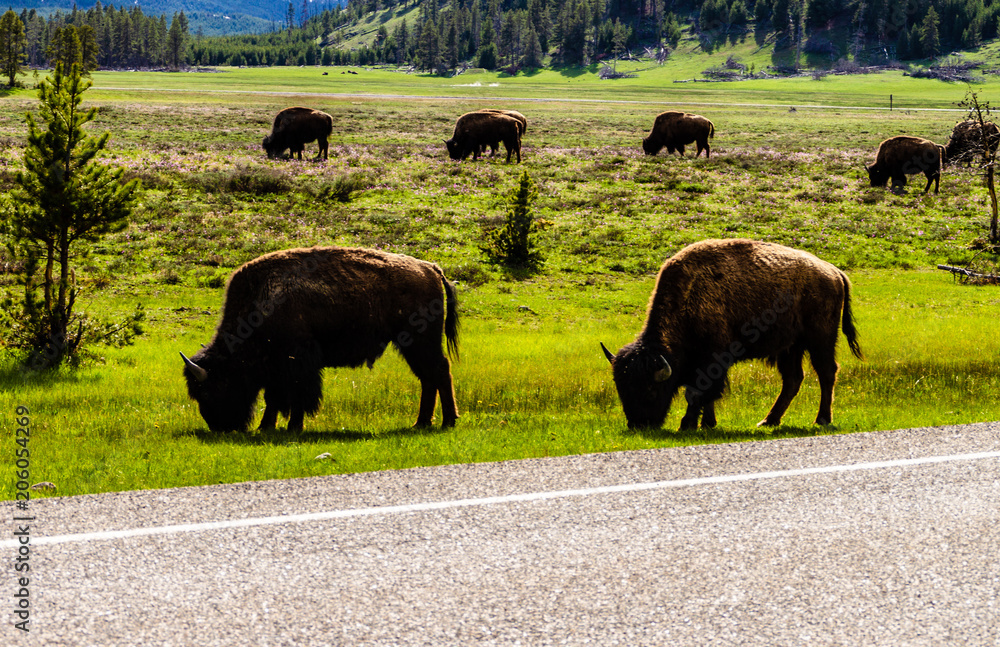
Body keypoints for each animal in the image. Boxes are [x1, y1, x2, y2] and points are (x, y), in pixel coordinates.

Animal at [181, 246, 459, 432]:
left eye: (209, 390)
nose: (220, 427)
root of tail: (431, 269)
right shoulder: (276, 369)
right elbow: (273, 398)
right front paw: (266, 427)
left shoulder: (298, 363)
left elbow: (297, 396)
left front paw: (293, 427)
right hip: (413, 345)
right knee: (429, 377)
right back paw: (422, 423)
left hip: (420, 342)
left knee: (439, 371)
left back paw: (446, 422)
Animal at [601, 239, 862, 430]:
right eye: (622, 389)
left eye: (650, 389)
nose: (638, 425)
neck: (688, 296)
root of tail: (834, 272)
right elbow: (706, 395)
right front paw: (707, 424)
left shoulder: (712, 359)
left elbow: (698, 392)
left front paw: (687, 424)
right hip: (790, 347)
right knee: (793, 379)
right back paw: (768, 421)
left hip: (821, 339)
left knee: (826, 373)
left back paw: (822, 419)